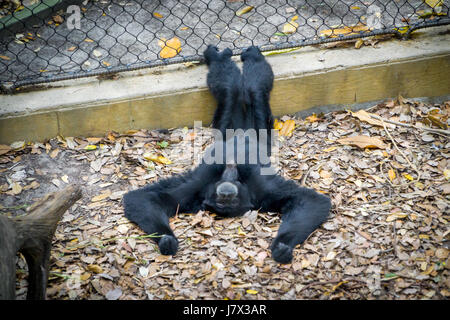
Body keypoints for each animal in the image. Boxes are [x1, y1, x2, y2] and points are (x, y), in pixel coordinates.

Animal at [123, 45, 330, 264]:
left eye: (231, 200)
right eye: (221, 201)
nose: (226, 193)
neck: (231, 171)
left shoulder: (262, 188)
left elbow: (310, 200)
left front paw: (282, 248)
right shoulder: (197, 186)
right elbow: (145, 197)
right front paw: (167, 240)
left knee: (254, 88)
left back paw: (249, 56)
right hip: (226, 127)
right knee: (231, 88)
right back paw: (221, 57)